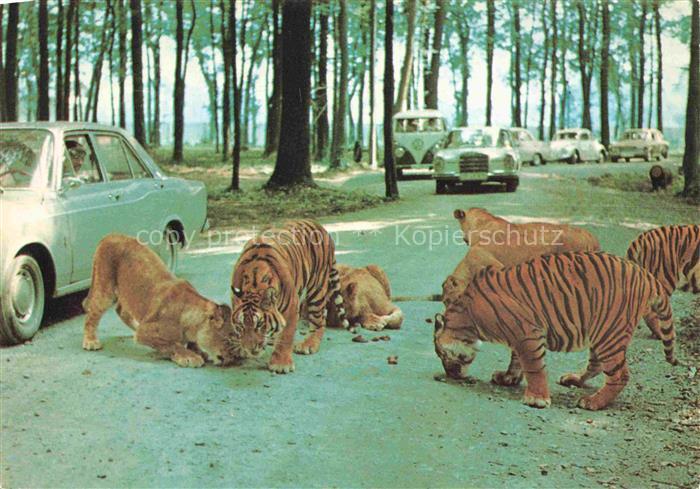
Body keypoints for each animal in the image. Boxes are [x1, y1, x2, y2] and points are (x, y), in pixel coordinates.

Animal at [227, 220, 348, 374]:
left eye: (259, 324)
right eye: (241, 325)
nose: (250, 348)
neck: (253, 285)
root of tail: (319, 226)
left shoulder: (291, 307)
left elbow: (286, 335)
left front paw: (281, 364)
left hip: (317, 287)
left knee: (319, 320)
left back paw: (309, 344)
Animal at [434, 252, 678, 411]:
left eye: (442, 355)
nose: (450, 374)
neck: (467, 317)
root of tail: (648, 276)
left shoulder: (527, 334)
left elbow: (534, 366)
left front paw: (536, 399)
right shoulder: (518, 335)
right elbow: (516, 361)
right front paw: (508, 378)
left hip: (609, 333)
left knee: (619, 375)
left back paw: (592, 402)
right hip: (601, 334)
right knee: (597, 365)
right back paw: (574, 379)